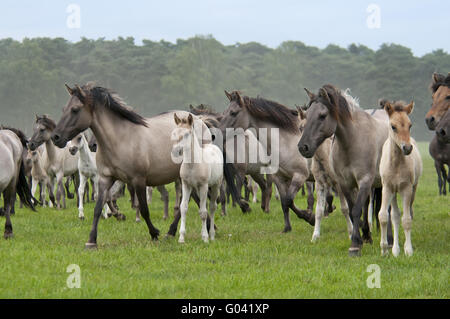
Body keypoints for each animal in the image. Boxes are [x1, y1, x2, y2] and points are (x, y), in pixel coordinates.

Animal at [171, 114, 222, 244]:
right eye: (174, 133)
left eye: (187, 134)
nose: (175, 151)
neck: (192, 165)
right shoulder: (186, 185)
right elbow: (183, 208)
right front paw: (181, 238)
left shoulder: (203, 186)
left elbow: (203, 213)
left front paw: (205, 238)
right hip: (198, 189)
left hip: (215, 186)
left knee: (212, 207)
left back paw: (212, 235)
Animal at [221, 91, 312, 234]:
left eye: (233, 113)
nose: (216, 133)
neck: (285, 143)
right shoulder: (280, 177)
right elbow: (285, 202)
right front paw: (287, 228)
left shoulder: (300, 176)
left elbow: (288, 200)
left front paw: (309, 217)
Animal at [298, 85, 388, 258]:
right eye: (307, 115)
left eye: (322, 115)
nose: (303, 147)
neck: (352, 142)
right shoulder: (344, 183)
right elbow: (352, 210)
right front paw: (358, 240)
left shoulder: (364, 181)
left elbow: (355, 210)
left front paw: (354, 245)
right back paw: (367, 234)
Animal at [378, 101, 424, 256]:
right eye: (393, 126)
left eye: (410, 125)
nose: (407, 148)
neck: (397, 164)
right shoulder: (387, 188)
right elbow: (384, 216)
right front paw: (384, 249)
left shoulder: (407, 189)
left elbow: (407, 220)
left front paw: (408, 250)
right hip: (394, 193)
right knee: (395, 216)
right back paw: (395, 249)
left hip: (413, 189)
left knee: (408, 213)